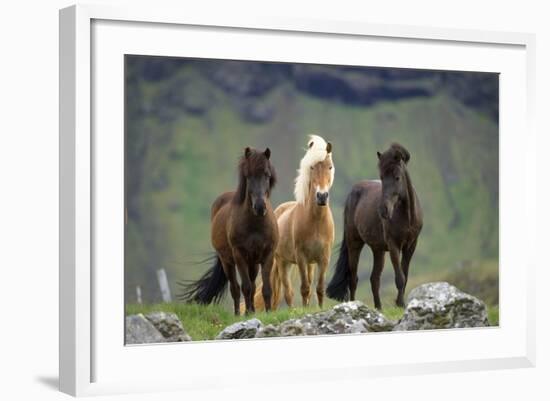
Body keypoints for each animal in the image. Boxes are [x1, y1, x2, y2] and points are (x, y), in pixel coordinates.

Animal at [179, 145, 278, 314]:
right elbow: (245, 288)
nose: (259, 207)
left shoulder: (268, 256)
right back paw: (239, 313)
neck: (255, 225)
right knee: (236, 288)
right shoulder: (239, 256)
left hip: (253, 263)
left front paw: (268, 312)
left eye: (267, 175)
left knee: (252, 285)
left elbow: (265, 289)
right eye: (248, 175)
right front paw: (246, 314)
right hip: (228, 262)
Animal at [268, 136, 336, 308]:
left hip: (310, 264)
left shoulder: (323, 258)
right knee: (288, 292)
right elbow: (304, 288)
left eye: (330, 167)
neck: (316, 222)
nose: (322, 196)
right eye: (312, 167)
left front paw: (319, 309)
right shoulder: (301, 258)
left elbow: (319, 289)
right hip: (283, 262)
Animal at [326, 144, 424, 310]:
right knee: (353, 278)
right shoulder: (394, 246)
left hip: (378, 250)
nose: (383, 210)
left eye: (397, 177)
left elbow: (405, 276)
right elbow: (399, 278)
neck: (407, 216)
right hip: (354, 244)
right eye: (382, 177)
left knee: (374, 279)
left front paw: (401, 303)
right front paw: (400, 304)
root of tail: (353, 192)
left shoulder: (411, 246)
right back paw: (354, 304)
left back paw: (378, 307)